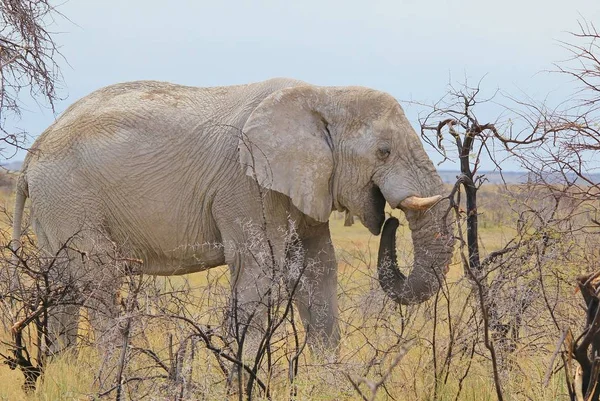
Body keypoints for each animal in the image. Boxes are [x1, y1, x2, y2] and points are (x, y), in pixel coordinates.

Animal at [11, 77, 454, 354]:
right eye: (383, 151)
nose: (391, 220)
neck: (323, 93)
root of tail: (35, 149)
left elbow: (318, 269)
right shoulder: (247, 186)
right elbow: (259, 271)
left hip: (56, 206)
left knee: (63, 290)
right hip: (71, 197)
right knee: (100, 281)